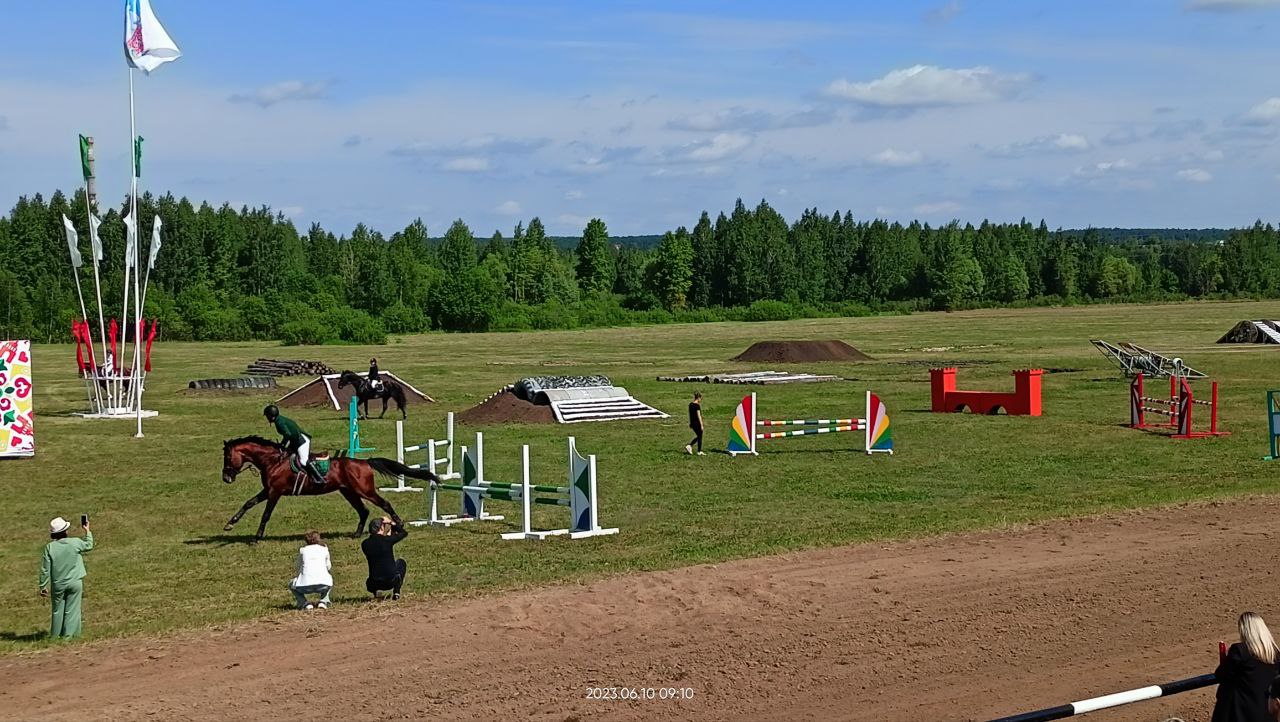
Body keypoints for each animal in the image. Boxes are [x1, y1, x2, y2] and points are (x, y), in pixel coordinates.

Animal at [221, 435, 440, 542]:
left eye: (227, 457)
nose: (226, 478)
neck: (272, 461)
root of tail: (365, 462)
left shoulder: (275, 492)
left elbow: (265, 514)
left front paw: (256, 538)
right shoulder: (268, 491)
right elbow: (248, 503)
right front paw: (230, 524)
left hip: (364, 491)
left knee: (383, 503)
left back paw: (399, 523)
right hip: (348, 492)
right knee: (363, 510)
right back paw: (356, 534)